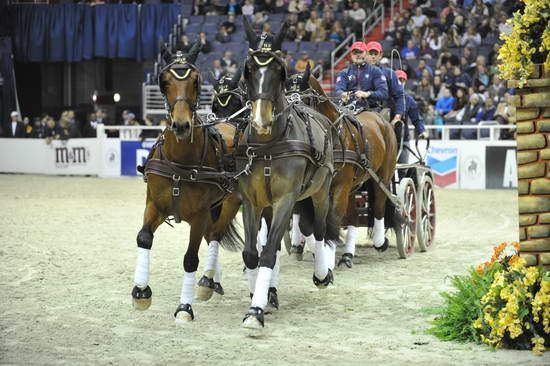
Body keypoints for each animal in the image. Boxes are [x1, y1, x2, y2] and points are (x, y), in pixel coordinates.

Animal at [130, 44, 245, 322]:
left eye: (196, 81)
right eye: (164, 81)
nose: (181, 125)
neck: (180, 161)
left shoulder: (200, 215)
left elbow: (190, 259)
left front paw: (184, 307)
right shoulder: (155, 205)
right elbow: (144, 238)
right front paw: (141, 292)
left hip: (231, 203)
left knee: (215, 235)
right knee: (212, 235)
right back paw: (210, 281)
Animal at [236, 19, 342, 328]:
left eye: (278, 70)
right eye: (248, 70)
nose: (260, 121)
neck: (268, 145)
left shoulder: (286, 200)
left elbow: (269, 252)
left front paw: (255, 312)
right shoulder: (252, 201)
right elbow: (252, 253)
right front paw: (259, 297)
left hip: (320, 191)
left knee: (319, 230)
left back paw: (322, 273)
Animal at [288, 66, 402, 268]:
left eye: (305, 101)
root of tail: (382, 119)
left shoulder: (340, 185)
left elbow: (332, 220)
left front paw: (326, 260)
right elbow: (308, 225)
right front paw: (318, 255)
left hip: (382, 175)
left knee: (379, 204)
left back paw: (379, 242)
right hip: (352, 186)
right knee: (352, 216)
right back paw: (347, 254)